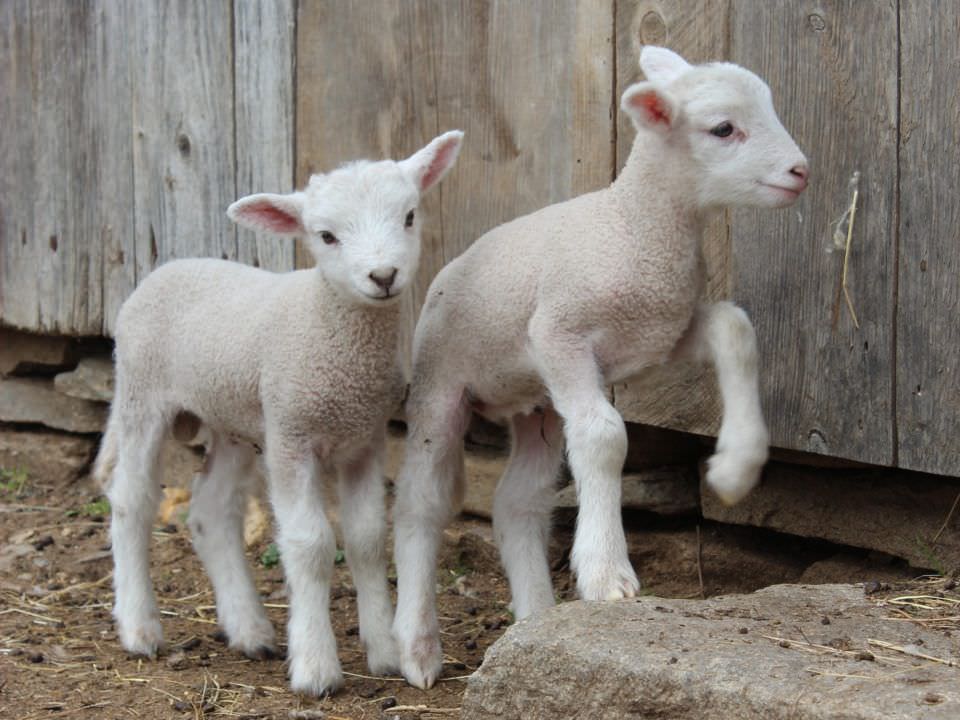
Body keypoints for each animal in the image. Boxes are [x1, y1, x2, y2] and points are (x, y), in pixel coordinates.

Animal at [92, 130, 464, 696]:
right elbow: (310, 544)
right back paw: (140, 628)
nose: (383, 276)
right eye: (326, 236)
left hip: (235, 418)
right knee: (131, 501)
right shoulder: (292, 435)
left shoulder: (364, 438)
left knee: (210, 510)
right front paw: (316, 668)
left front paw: (383, 652)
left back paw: (249, 629)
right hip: (142, 393)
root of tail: (167, 267)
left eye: (408, 216)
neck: (329, 326)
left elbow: (365, 539)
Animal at [391, 46, 808, 688]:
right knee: (421, 501)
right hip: (443, 385)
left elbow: (735, 329)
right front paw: (607, 574)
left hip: (536, 403)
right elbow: (605, 436)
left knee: (517, 503)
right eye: (723, 129)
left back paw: (534, 619)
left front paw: (736, 468)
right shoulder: (558, 335)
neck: (633, 227)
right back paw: (418, 647)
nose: (800, 171)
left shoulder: (658, 331)